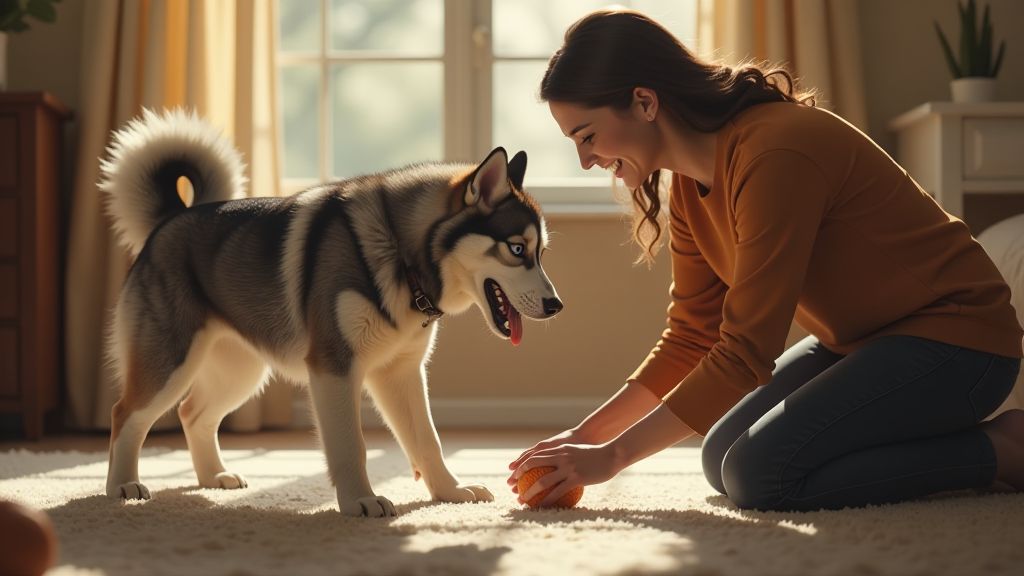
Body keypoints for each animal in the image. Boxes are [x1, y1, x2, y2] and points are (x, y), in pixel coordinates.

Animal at [100, 107, 565, 516]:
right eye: (516, 250)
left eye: (541, 253)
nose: (556, 305)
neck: (402, 255)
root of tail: (170, 219)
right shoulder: (334, 367)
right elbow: (351, 445)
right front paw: (360, 501)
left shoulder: (401, 373)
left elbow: (427, 441)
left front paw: (449, 492)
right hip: (172, 362)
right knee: (126, 414)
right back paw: (123, 485)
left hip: (241, 371)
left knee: (192, 413)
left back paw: (212, 477)